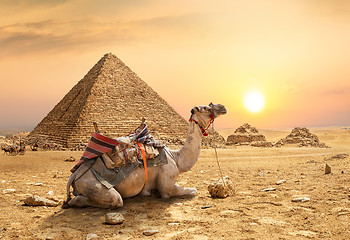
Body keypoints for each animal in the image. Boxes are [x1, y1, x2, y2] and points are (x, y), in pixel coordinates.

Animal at [63, 103, 227, 208]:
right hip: (93, 185)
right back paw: (73, 202)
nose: (223, 108)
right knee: (115, 200)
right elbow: (193, 191)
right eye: (206, 108)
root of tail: (75, 175)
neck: (176, 157)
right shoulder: (168, 184)